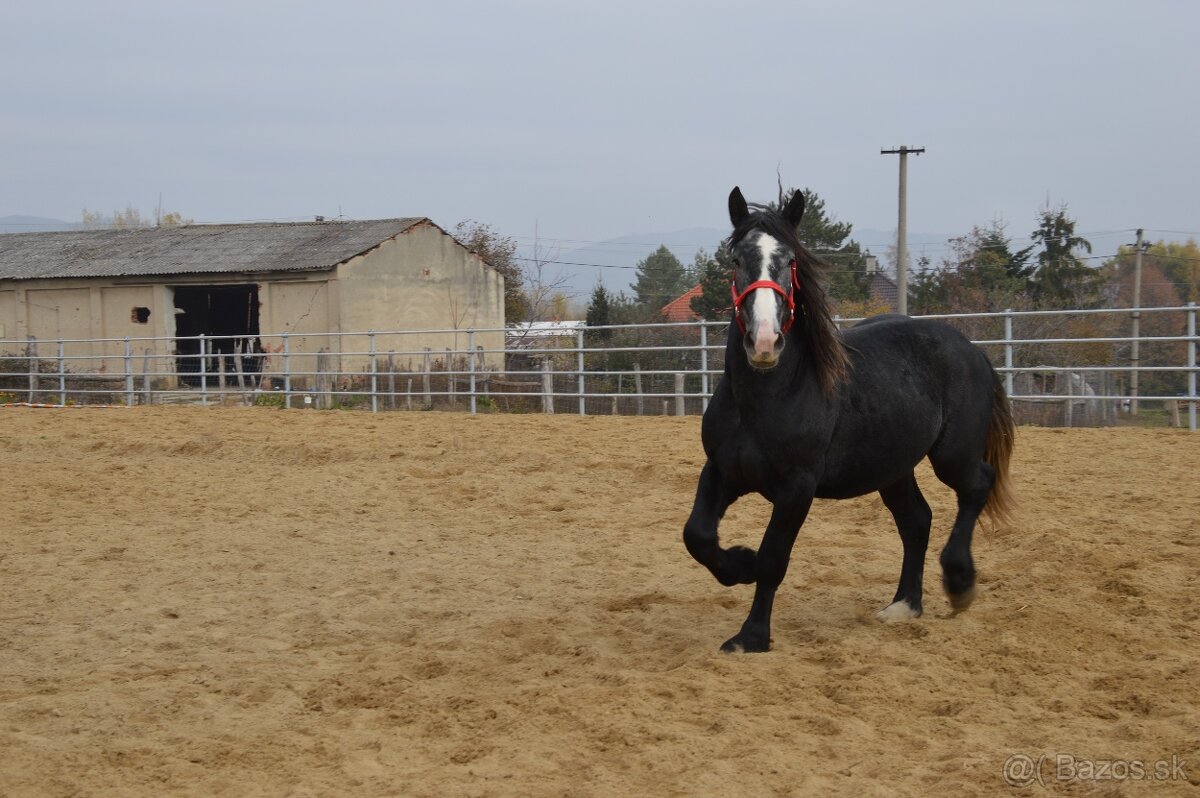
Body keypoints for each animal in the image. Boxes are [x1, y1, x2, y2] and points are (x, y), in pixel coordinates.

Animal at [686, 188, 1012, 652]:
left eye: (790, 260)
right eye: (736, 260)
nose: (764, 342)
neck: (766, 399)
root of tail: (971, 349)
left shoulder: (797, 488)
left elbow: (773, 559)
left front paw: (751, 636)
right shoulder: (721, 471)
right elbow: (697, 536)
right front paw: (740, 564)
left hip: (953, 456)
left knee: (977, 485)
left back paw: (959, 582)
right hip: (893, 468)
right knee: (917, 521)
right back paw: (904, 605)